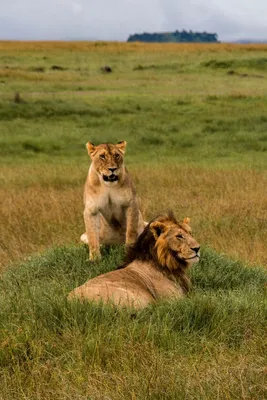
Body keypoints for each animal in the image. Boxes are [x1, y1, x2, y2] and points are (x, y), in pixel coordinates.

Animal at [69, 212, 201, 310]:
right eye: (179, 236)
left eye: (191, 233)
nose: (197, 248)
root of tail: (74, 301)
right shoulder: (173, 300)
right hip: (141, 299)